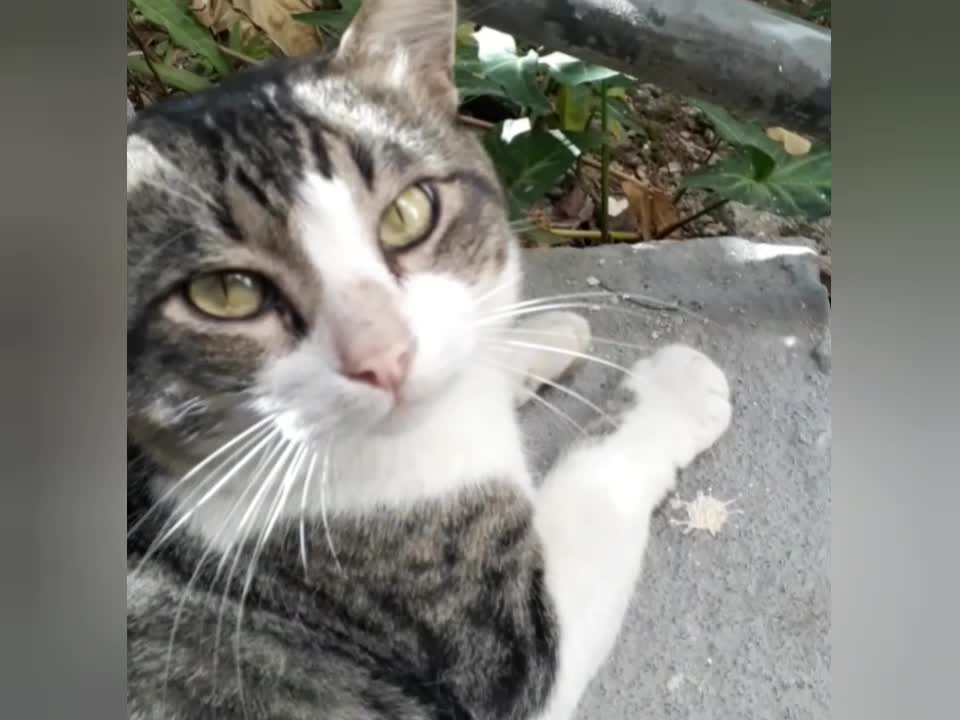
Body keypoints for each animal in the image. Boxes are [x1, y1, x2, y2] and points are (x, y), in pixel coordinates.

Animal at [124, 2, 732, 716]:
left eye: (408, 213)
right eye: (227, 293)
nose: (384, 356)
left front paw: (539, 333)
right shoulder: (494, 651)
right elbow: (594, 487)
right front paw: (676, 388)